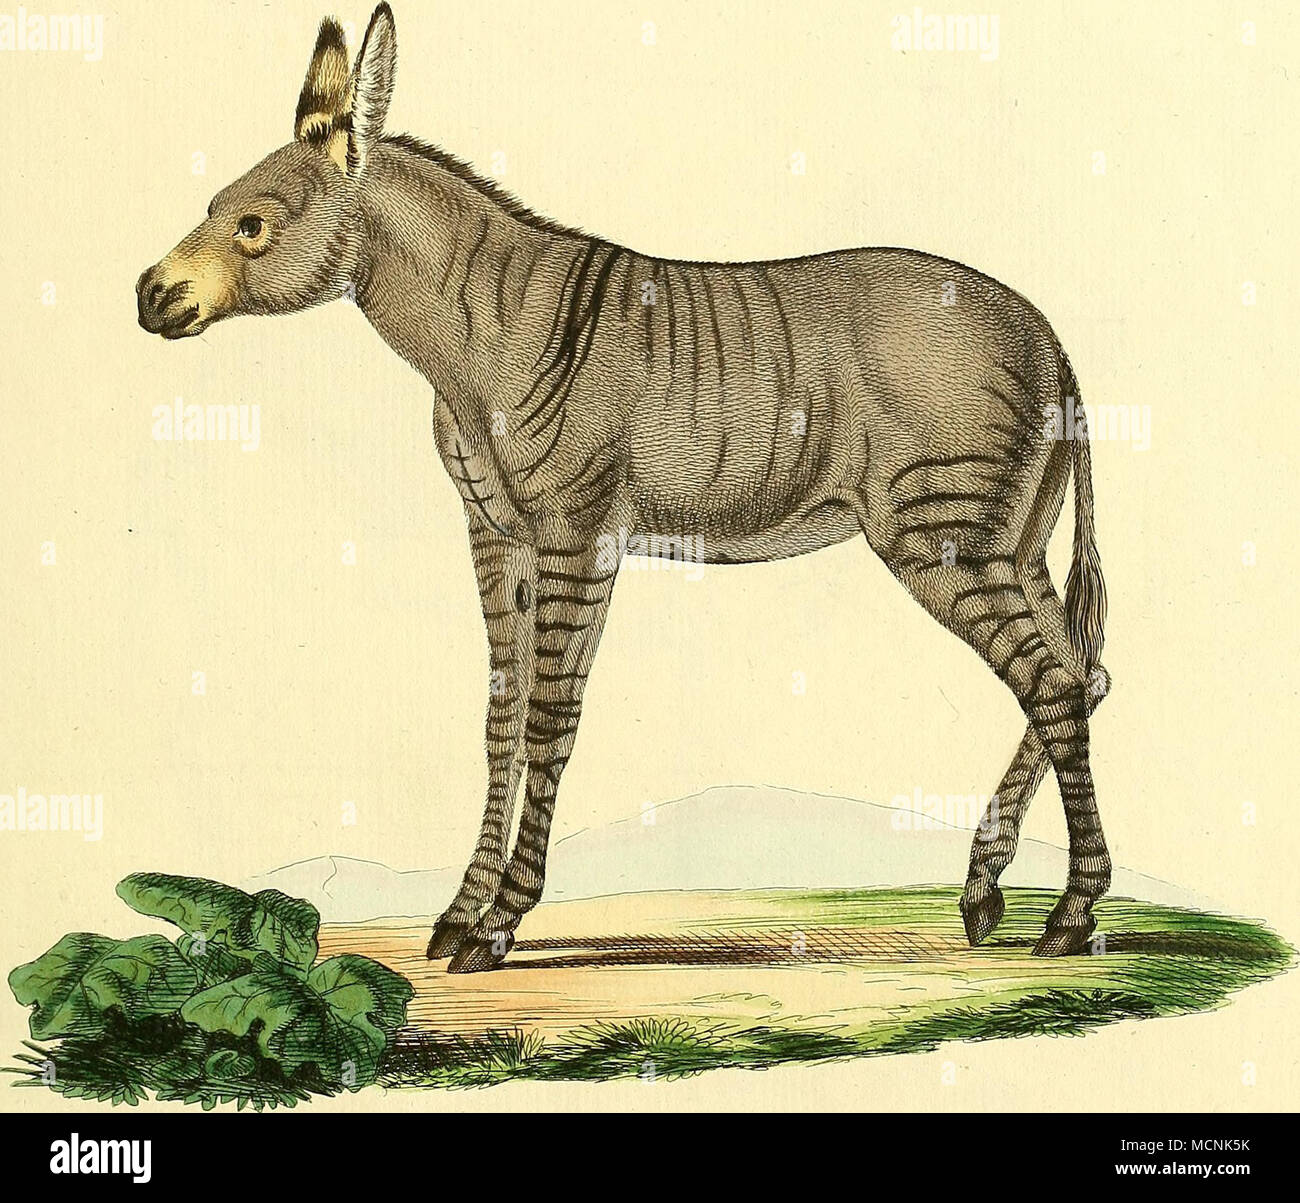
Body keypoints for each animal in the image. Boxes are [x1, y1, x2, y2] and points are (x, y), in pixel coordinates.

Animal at [136, 5, 1112, 972]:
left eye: (252, 225)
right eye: (211, 207)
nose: (148, 295)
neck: (486, 339)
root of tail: (1052, 340)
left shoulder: (578, 534)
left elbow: (548, 719)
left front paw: (500, 923)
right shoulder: (497, 535)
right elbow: (499, 721)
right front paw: (458, 913)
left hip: (942, 539)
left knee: (1054, 685)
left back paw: (1068, 915)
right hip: (1012, 542)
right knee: (1081, 675)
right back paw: (985, 892)